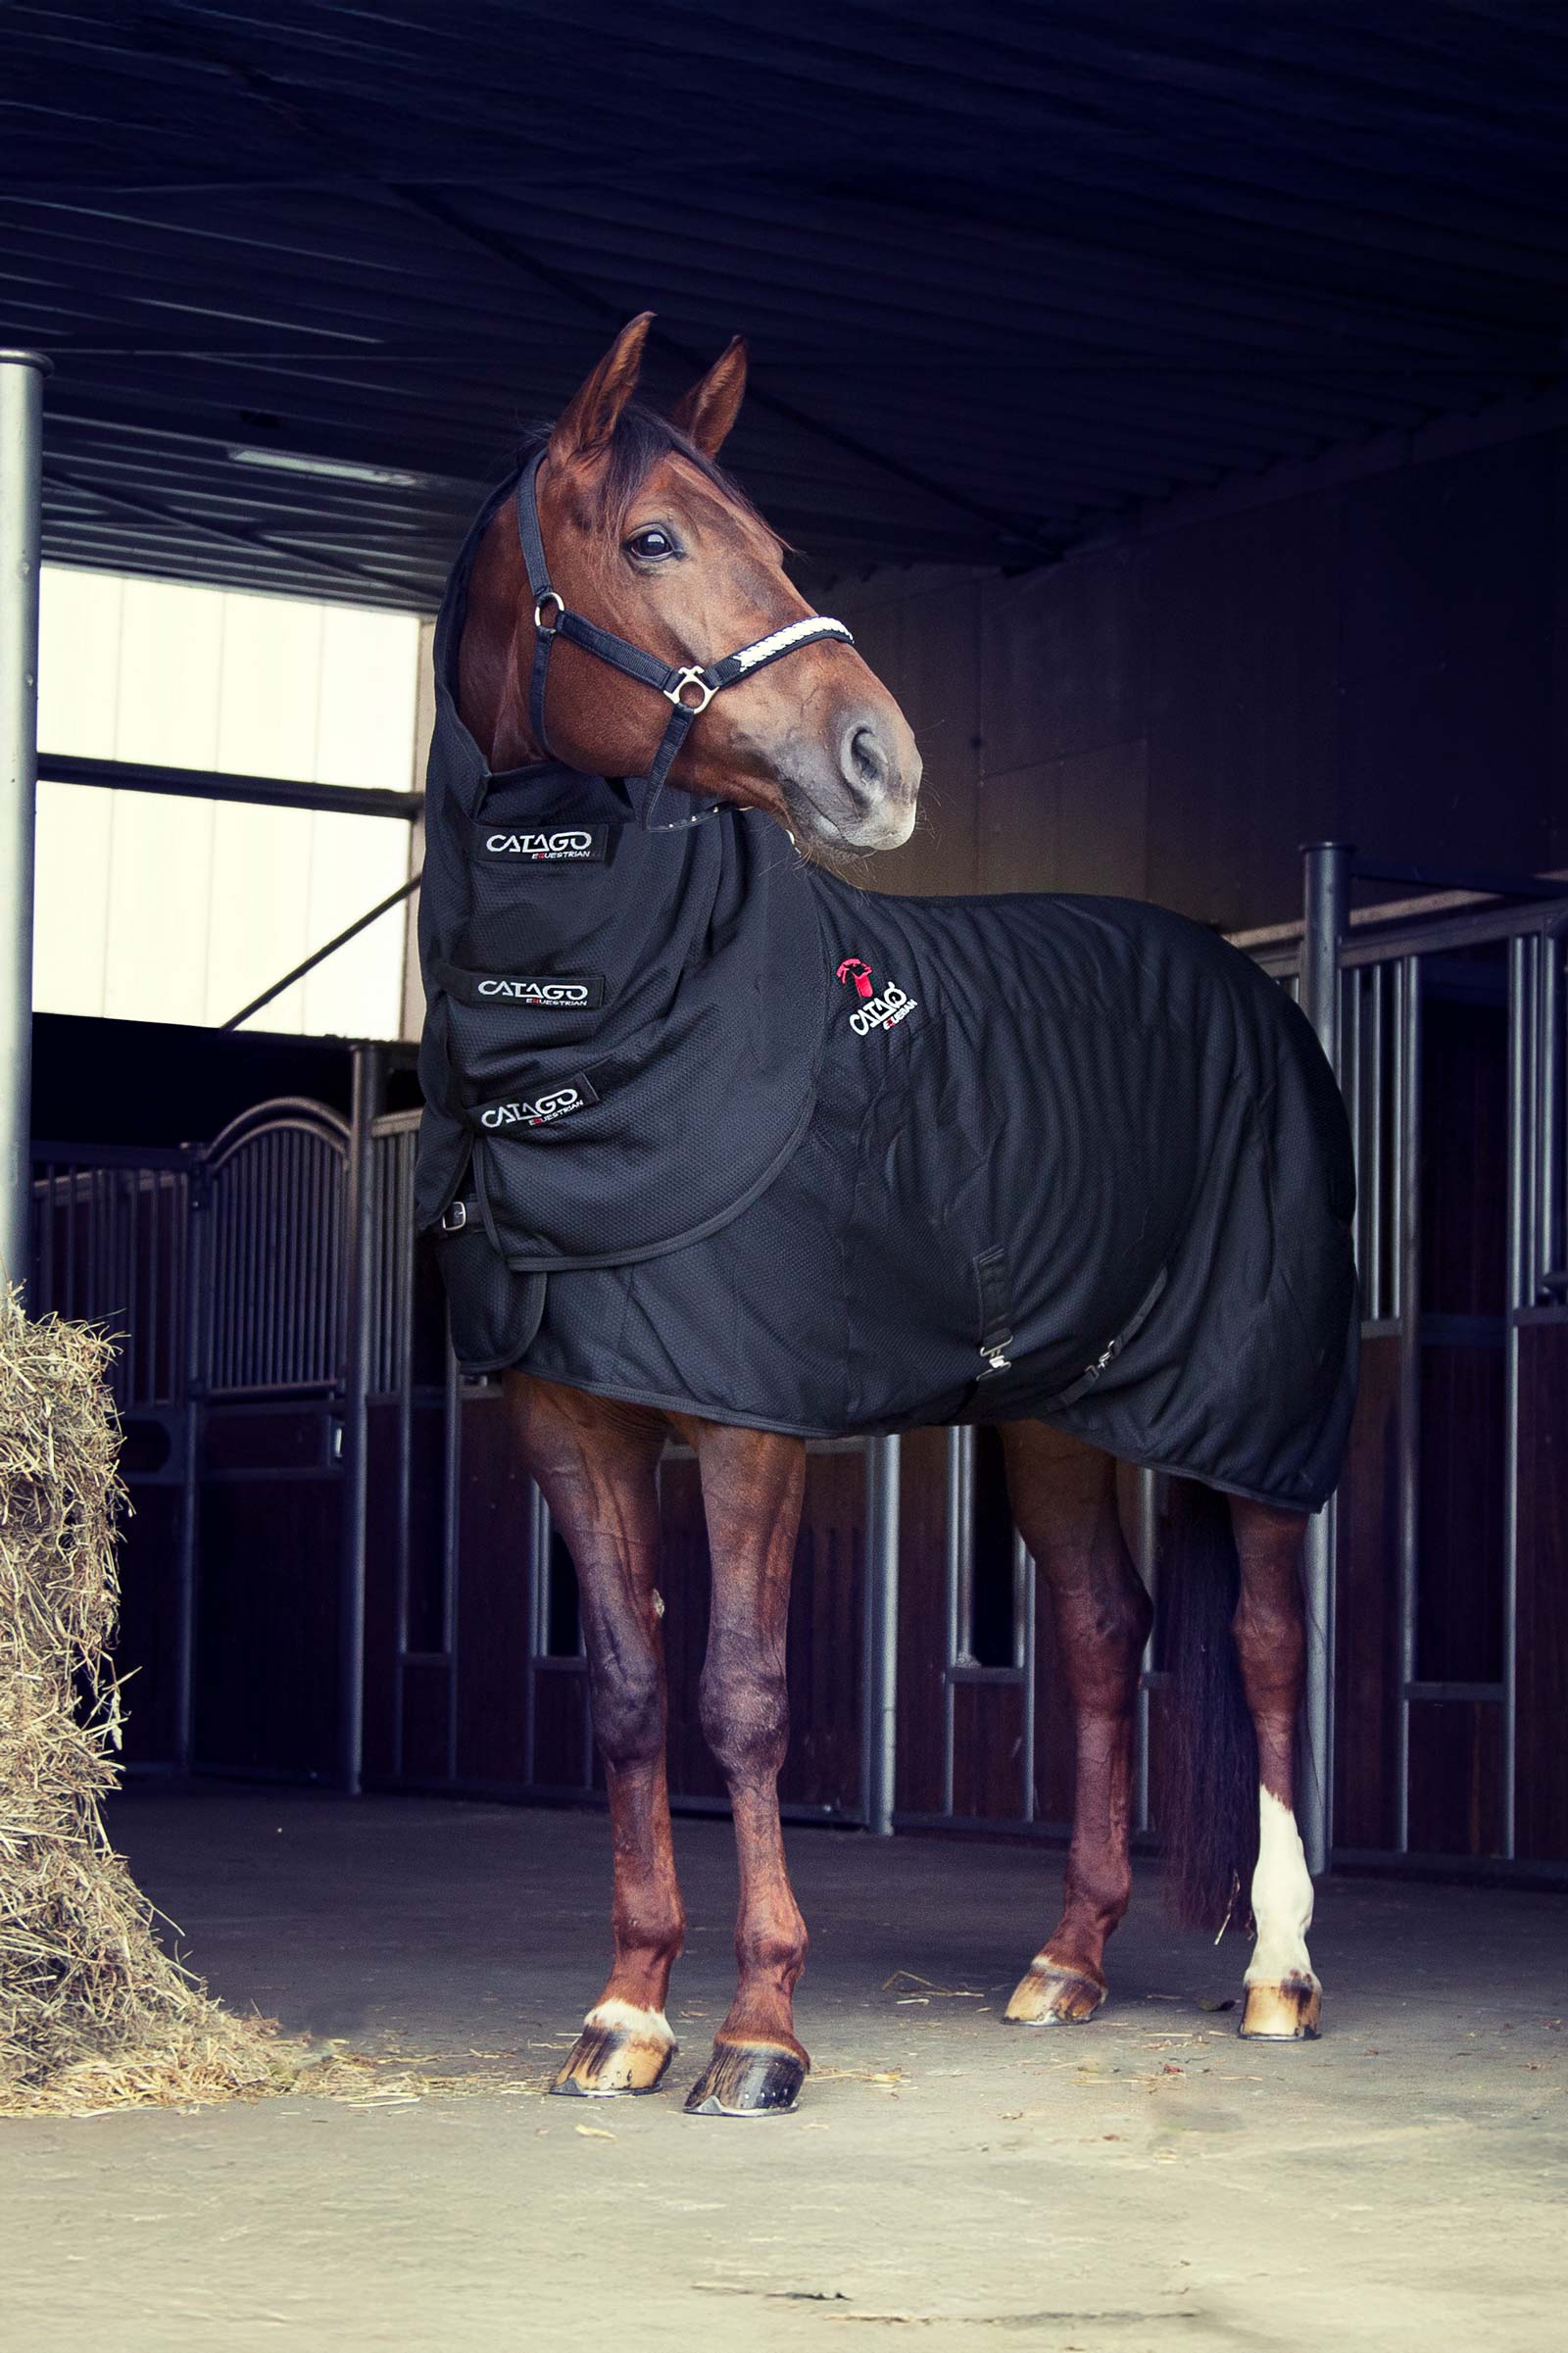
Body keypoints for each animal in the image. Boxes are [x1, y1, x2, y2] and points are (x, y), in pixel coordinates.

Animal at [420, 312, 1357, 2117]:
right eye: (657, 539)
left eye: (784, 547)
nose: (884, 761)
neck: (600, 1024)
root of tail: (1245, 983)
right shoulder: (572, 1407)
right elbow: (630, 1698)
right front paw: (625, 2010)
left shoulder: (751, 1415)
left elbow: (744, 1693)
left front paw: (758, 2030)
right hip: (1056, 1410)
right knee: (1101, 1631)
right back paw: (1066, 1962)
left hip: (1250, 1406)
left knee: (1271, 1638)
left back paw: (1282, 1973)